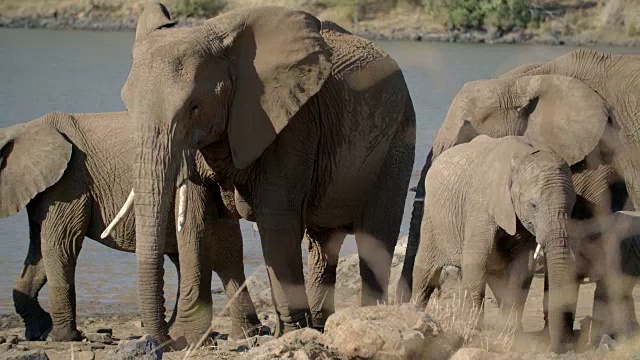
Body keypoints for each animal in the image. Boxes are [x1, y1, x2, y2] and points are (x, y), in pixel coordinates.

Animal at [1, 112, 260, 348]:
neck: (21, 129)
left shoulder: (68, 184)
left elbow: (60, 245)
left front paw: (61, 338)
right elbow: (40, 253)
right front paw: (39, 333)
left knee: (224, 256)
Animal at [114, 2, 416, 346]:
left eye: (194, 106)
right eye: (127, 106)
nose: (159, 341)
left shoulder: (293, 124)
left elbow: (276, 220)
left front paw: (291, 333)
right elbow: (194, 224)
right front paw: (189, 339)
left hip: (397, 141)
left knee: (373, 239)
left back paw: (365, 318)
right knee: (323, 246)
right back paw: (322, 325)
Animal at [416, 134, 580, 352]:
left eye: (572, 206)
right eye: (533, 205)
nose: (554, 349)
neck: (523, 156)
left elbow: (522, 268)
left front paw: (510, 334)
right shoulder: (481, 204)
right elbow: (476, 261)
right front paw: (472, 331)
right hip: (433, 217)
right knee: (425, 273)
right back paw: (413, 311)